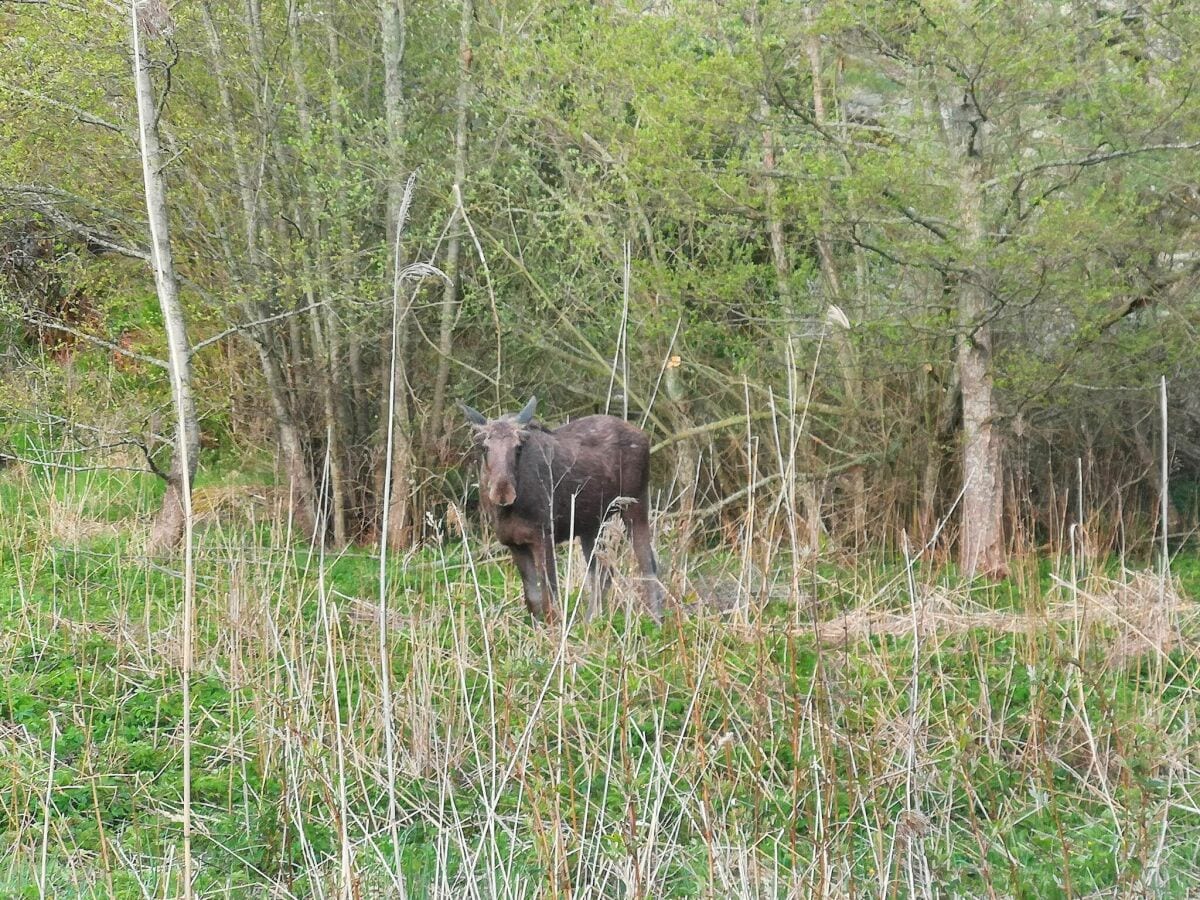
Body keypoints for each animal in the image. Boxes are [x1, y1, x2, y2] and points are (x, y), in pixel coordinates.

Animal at [460, 398, 667, 624]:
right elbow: (532, 600)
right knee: (603, 573)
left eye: (518, 448)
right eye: (484, 448)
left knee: (648, 563)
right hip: (592, 525)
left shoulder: (543, 536)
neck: (507, 512)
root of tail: (644, 436)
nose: (503, 493)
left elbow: (550, 599)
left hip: (635, 505)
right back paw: (590, 622)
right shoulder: (514, 544)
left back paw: (657, 620)